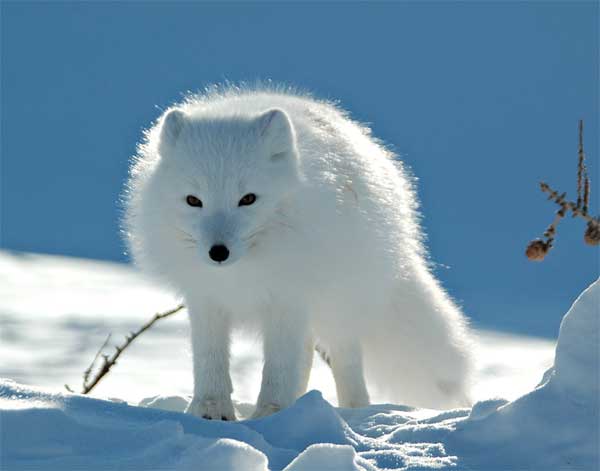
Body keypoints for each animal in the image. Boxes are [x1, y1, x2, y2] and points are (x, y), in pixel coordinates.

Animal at [124, 85, 474, 420]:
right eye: (193, 200)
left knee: (344, 359)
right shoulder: (206, 298)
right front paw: (211, 410)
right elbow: (210, 359)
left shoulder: (287, 297)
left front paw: (271, 413)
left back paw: (352, 410)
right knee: (305, 355)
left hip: (339, 302)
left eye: (248, 199)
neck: (244, 271)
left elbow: (279, 367)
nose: (218, 252)